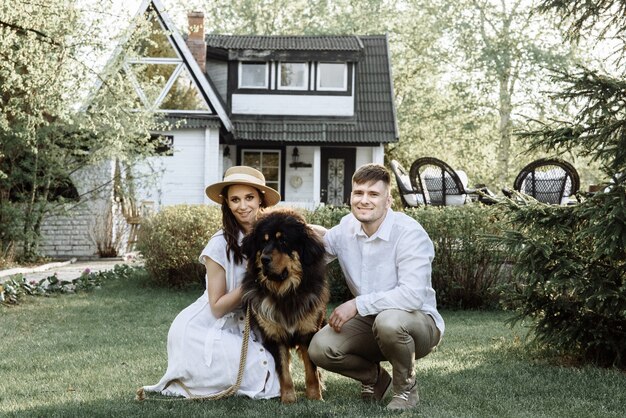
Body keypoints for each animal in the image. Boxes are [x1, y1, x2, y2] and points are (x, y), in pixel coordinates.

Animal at [239, 209, 330, 404]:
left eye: (283, 241)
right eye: (264, 241)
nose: (264, 259)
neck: (285, 293)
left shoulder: (308, 333)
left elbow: (311, 370)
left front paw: (315, 397)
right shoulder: (274, 336)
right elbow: (284, 371)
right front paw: (288, 398)